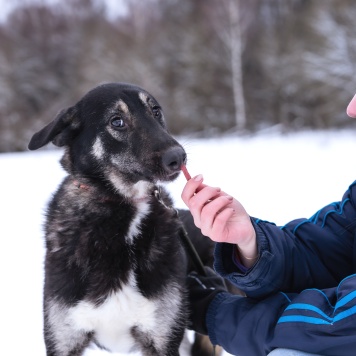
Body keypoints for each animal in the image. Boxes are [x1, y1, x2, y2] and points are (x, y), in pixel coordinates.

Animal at [28, 82, 217, 354]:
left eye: (155, 111)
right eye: (117, 121)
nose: (178, 157)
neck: (124, 207)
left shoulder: (163, 339)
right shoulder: (64, 341)